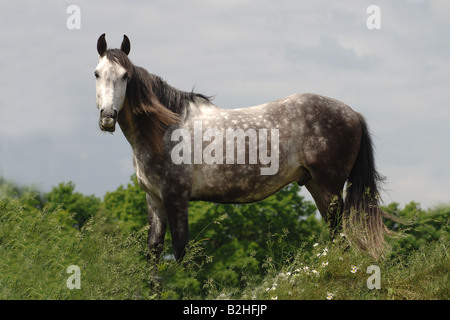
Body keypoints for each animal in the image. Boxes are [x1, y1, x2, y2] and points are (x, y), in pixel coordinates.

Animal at [94, 33, 394, 262]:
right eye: (97, 74)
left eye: (125, 76)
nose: (107, 117)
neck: (166, 128)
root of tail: (353, 114)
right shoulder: (154, 201)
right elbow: (153, 257)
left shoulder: (176, 198)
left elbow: (181, 254)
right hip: (316, 186)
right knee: (336, 238)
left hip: (330, 187)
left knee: (340, 237)